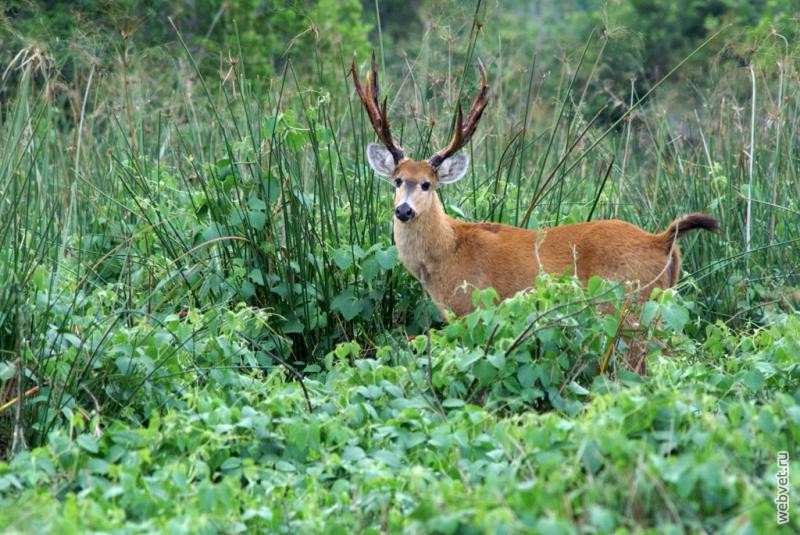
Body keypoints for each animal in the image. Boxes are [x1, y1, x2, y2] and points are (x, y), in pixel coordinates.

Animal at [350, 53, 720, 318]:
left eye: (427, 184)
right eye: (398, 180)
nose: (403, 210)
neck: (447, 251)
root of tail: (661, 240)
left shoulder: (474, 308)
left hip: (624, 301)